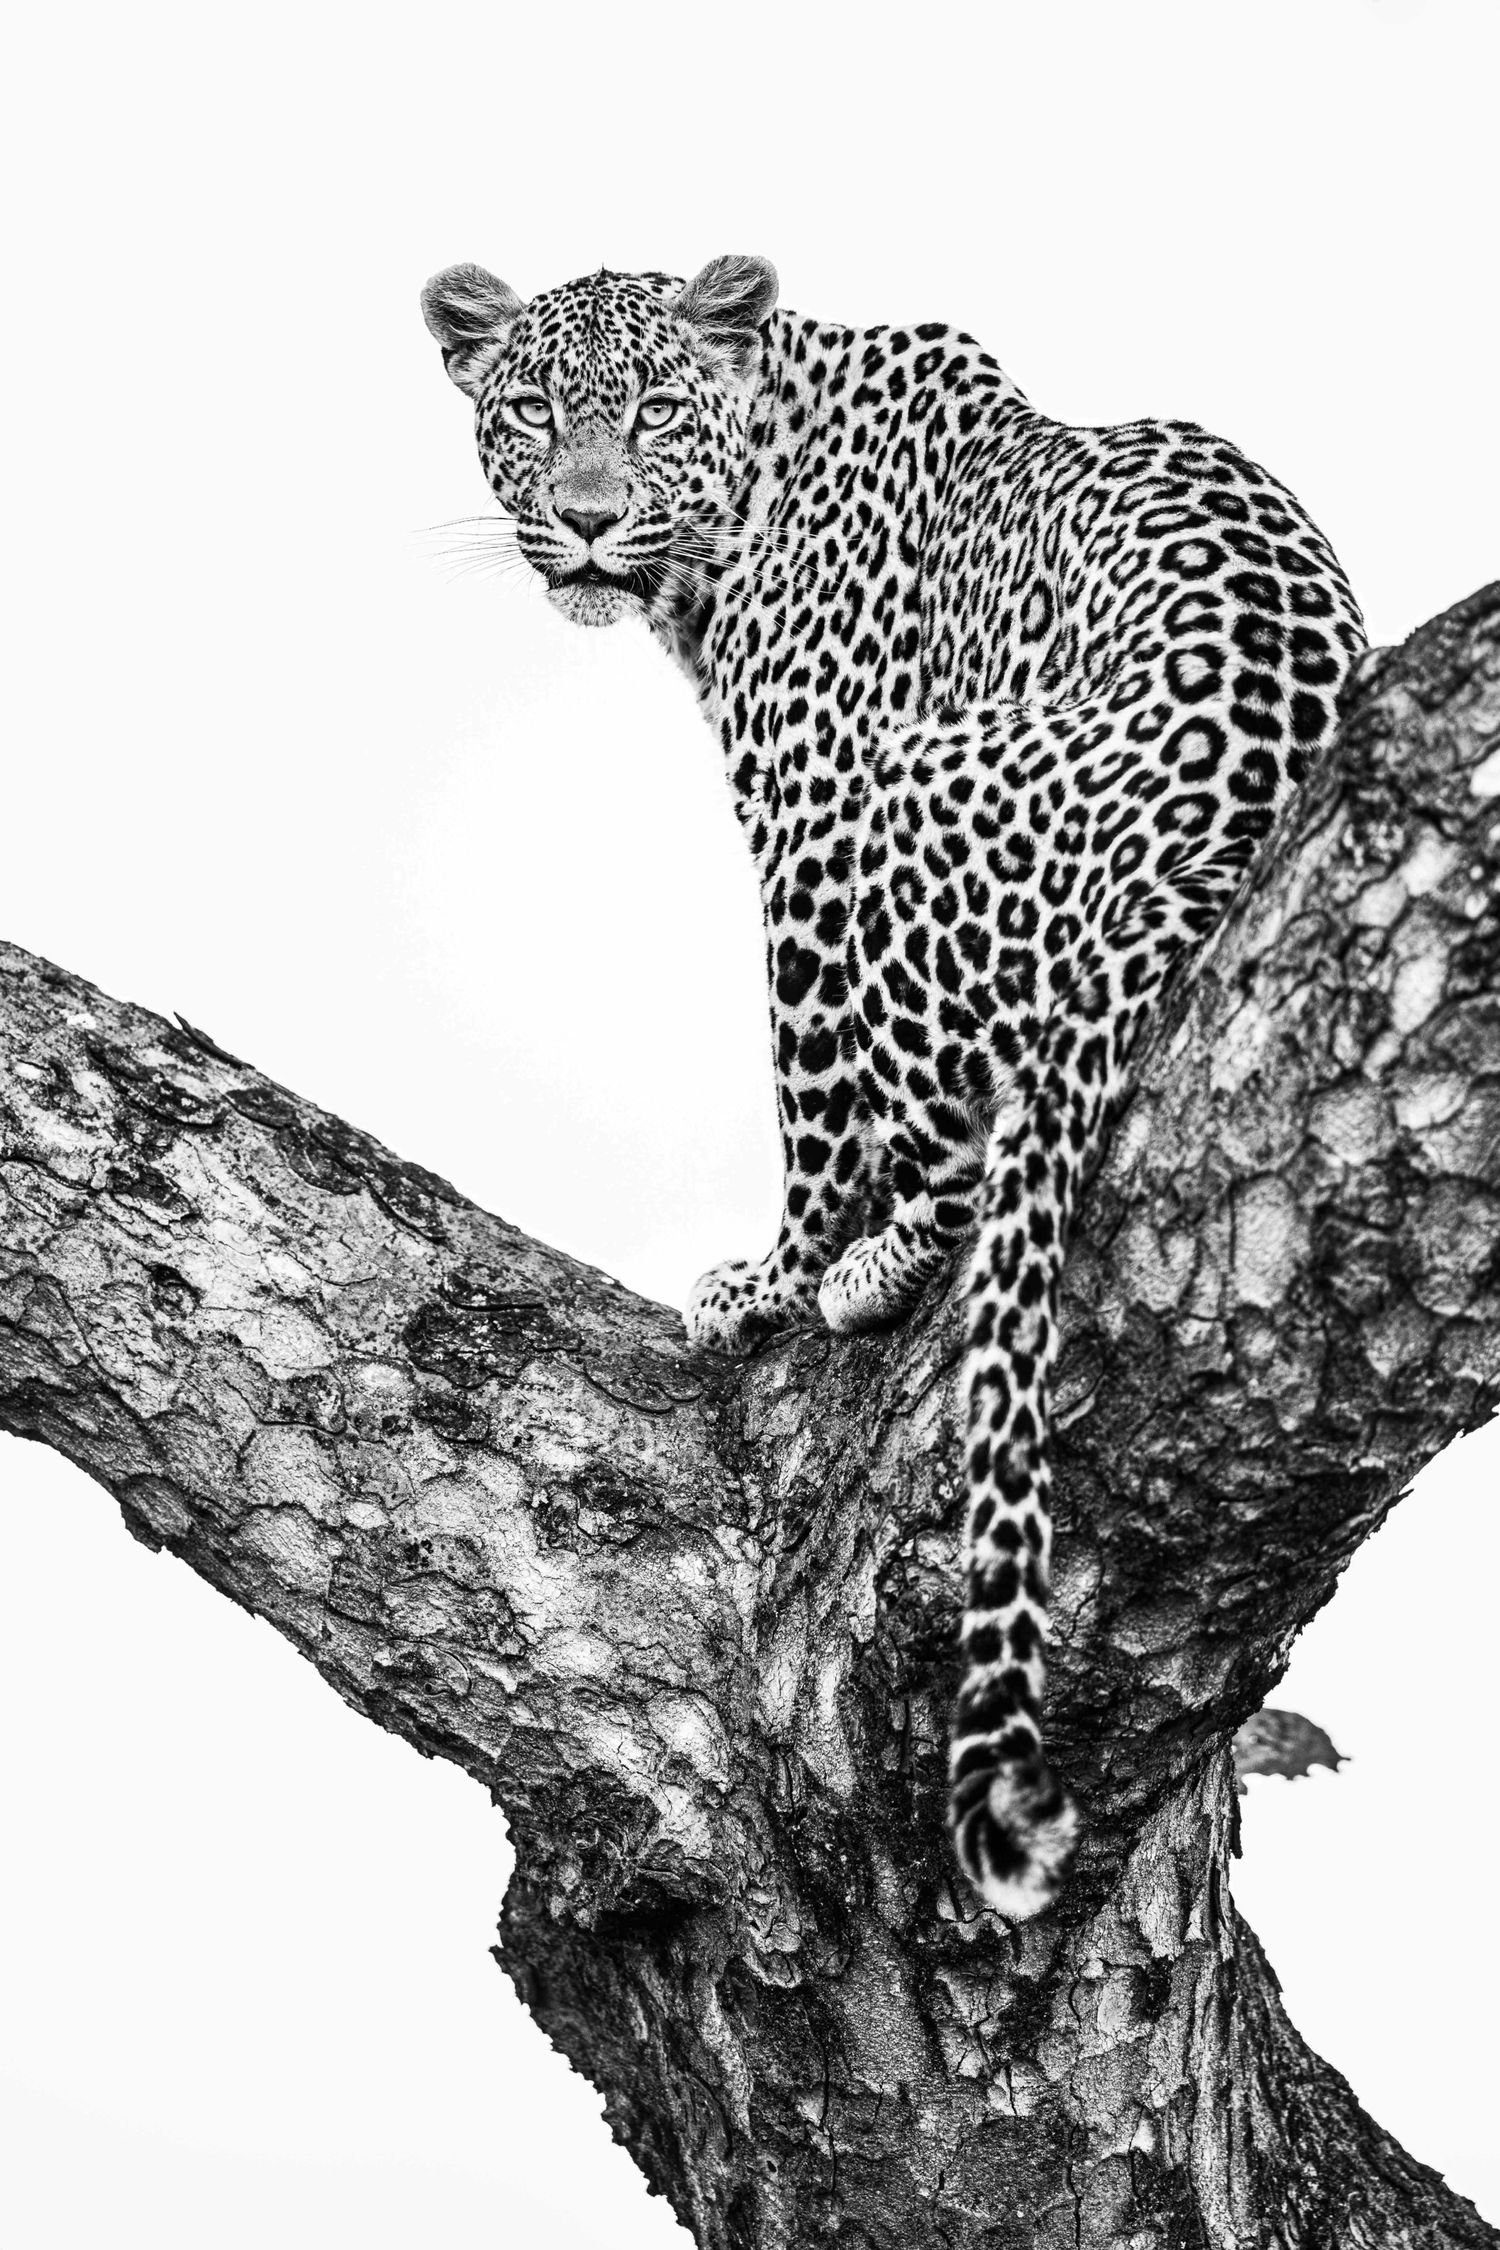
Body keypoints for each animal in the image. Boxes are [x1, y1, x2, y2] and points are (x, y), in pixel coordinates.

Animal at [421, 253, 1365, 1919]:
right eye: (532, 407)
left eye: (653, 410)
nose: (590, 519)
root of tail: (1221, 830)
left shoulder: (802, 818)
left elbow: (811, 1089)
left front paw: (775, 1277)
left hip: (900, 803)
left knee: (949, 1128)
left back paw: (868, 1265)